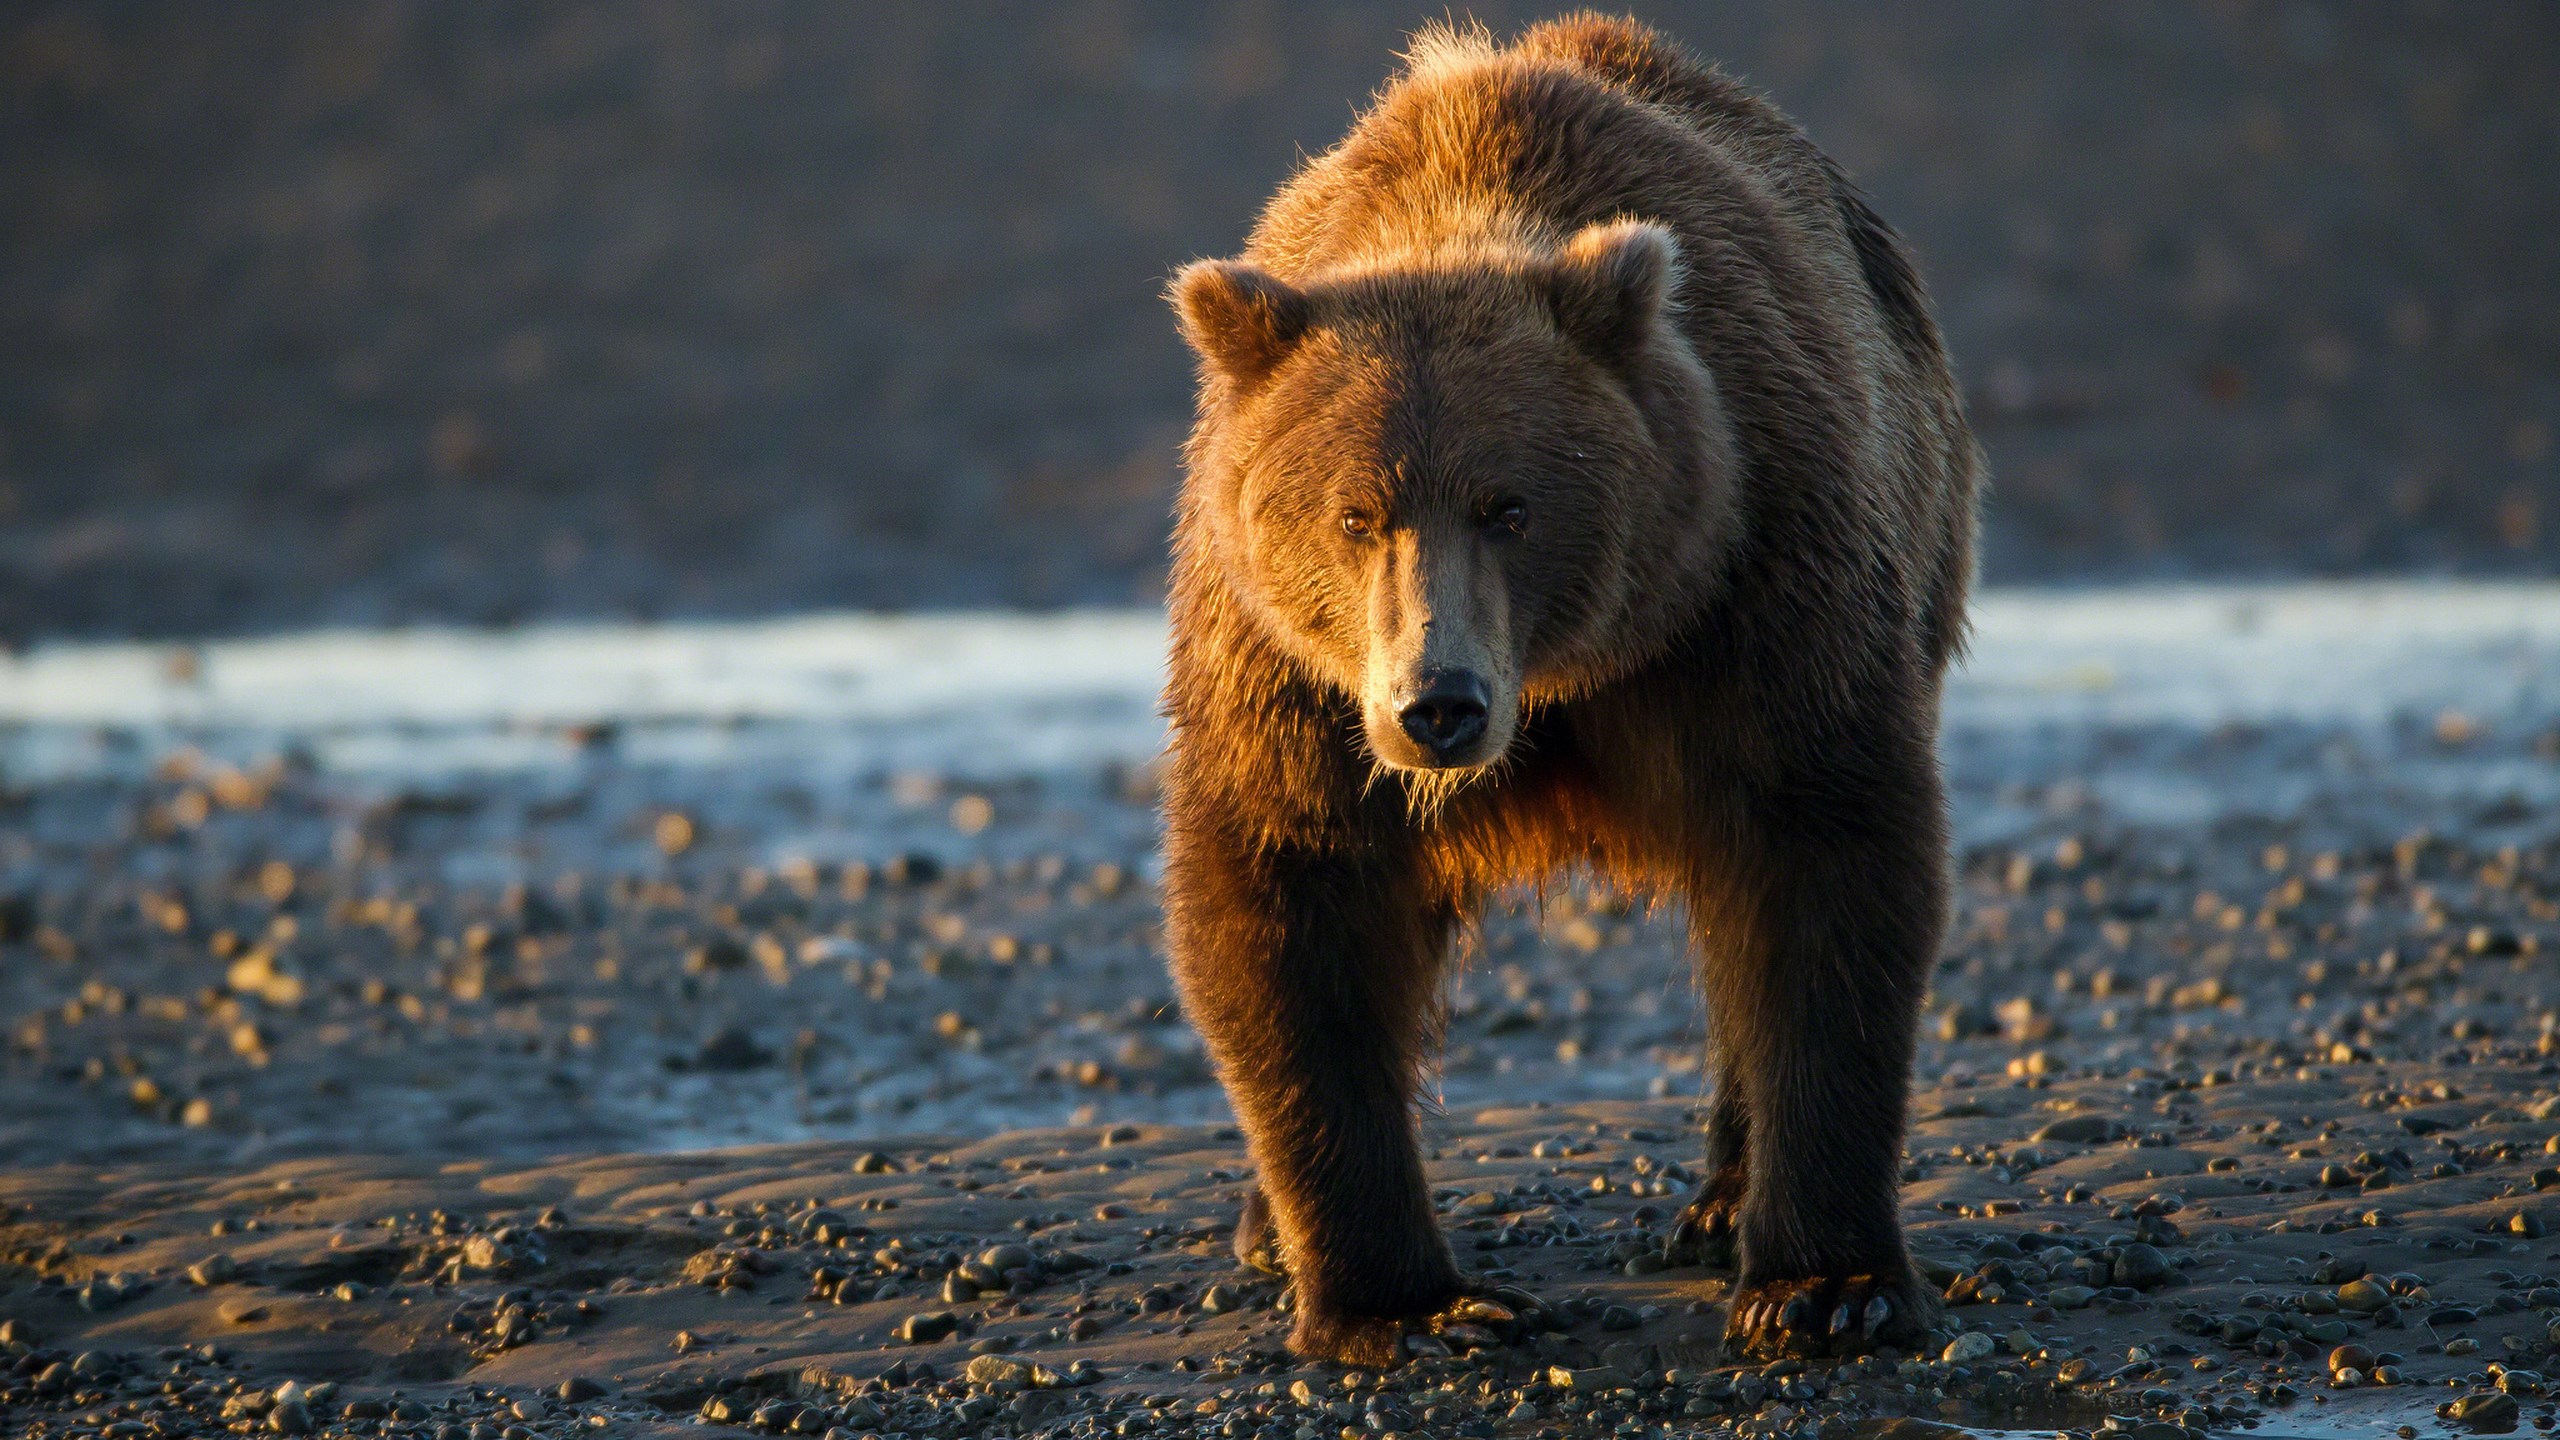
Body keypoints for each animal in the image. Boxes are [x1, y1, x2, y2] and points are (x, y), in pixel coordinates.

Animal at [1159, 13, 1981, 1367]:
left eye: (1510, 506)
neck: (1566, 679)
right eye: (1353, 515)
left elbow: (1823, 860)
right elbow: (1290, 896)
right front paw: (1402, 1303)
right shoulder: (1286, 675)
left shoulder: (1756, 580)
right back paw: (1260, 1226)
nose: (1438, 703)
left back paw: (1723, 1202)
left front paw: (1825, 1285)